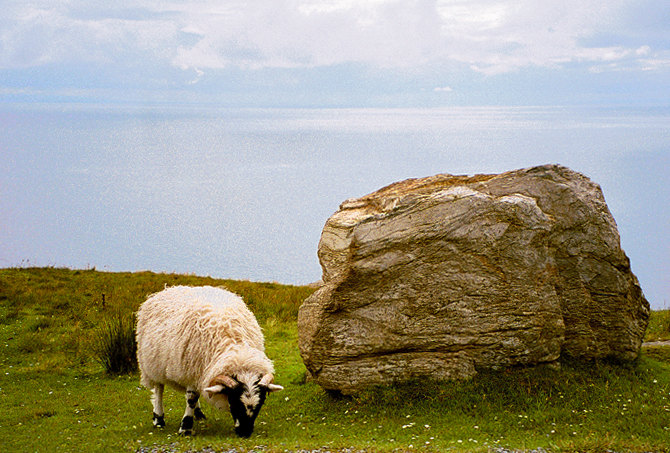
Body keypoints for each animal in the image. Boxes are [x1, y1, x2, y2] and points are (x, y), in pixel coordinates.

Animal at [136, 284, 284, 436]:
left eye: (261, 403)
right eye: (234, 401)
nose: (245, 432)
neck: (236, 349)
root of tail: (166, 290)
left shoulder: (198, 372)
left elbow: (193, 396)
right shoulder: (192, 368)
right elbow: (191, 398)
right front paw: (185, 427)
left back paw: (198, 414)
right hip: (152, 364)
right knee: (159, 389)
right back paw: (159, 418)